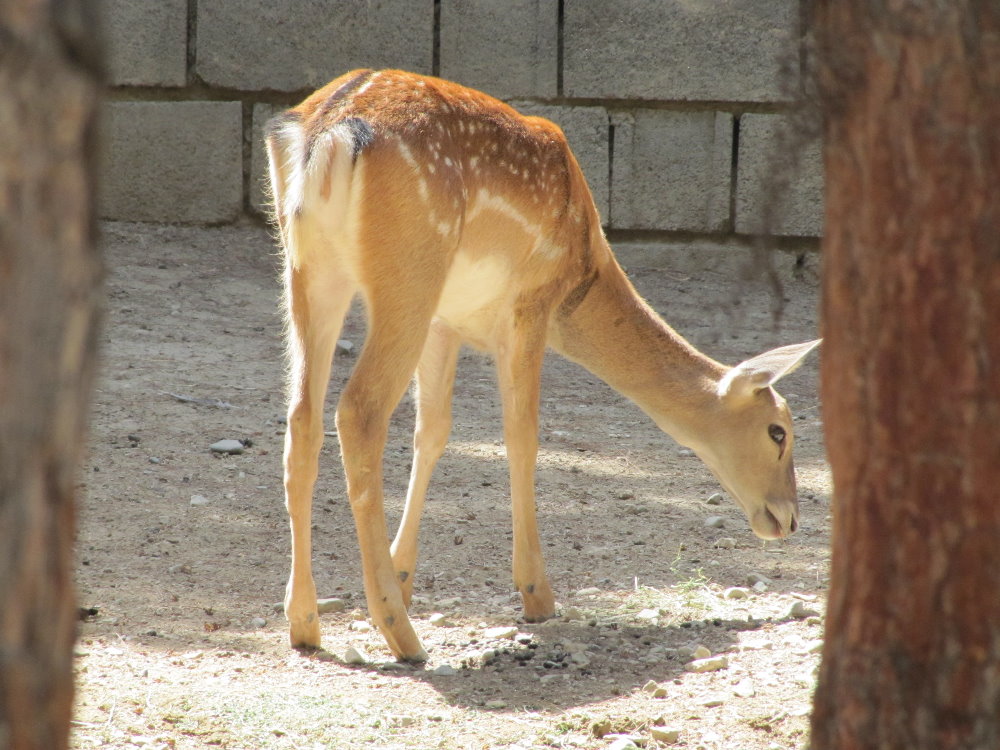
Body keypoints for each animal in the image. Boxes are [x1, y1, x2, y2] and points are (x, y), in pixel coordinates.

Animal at [265, 69, 820, 662]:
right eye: (779, 431)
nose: (789, 518)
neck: (582, 271)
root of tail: (326, 134)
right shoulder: (529, 302)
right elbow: (522, 435)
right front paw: (537, 594)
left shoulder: (445, 321)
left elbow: (433, 431)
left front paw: (404, 573)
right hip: (409, 268)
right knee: (358, 411)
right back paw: (400, 633)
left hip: (307, 267)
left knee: (302, 419)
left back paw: (305, 623)